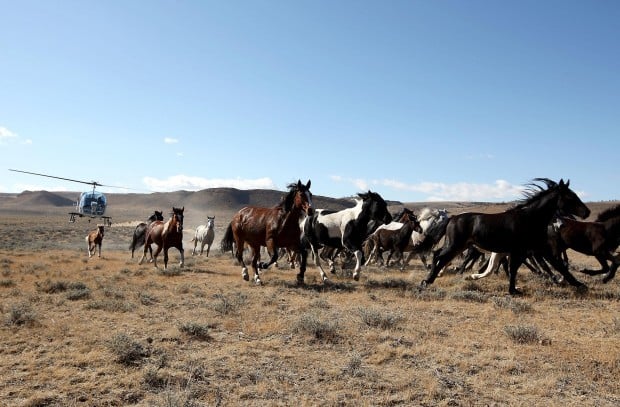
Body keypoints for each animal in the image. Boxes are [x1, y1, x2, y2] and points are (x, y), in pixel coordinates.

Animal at [422, 180, 592, 294]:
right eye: (570, 197)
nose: (587, 212)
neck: (529, 218)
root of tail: (453, 218)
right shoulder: (521, 250)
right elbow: (513, 268)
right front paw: (513, 290)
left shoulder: (537, 249)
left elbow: (558, 266)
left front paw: (578, 284)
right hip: (455, 244)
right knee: (439, 256)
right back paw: (427, 280)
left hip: (460, 245)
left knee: (439, 256)